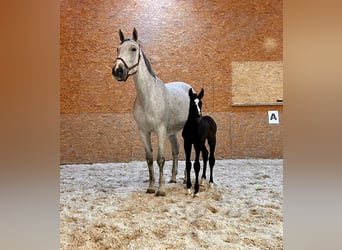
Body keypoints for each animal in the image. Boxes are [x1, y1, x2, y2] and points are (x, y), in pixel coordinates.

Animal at [113, 28, 191, 196]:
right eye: (117, 49)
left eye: (133, 48)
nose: (117, 70)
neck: (148, 97)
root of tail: (189, 88)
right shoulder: (144, 131)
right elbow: (149, 158)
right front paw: (150, 187)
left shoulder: (160, 130)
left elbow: (160, 158)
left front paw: (161, 190)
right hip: (171, 132)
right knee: (176, 149)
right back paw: (174, 179)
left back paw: (187, 180)